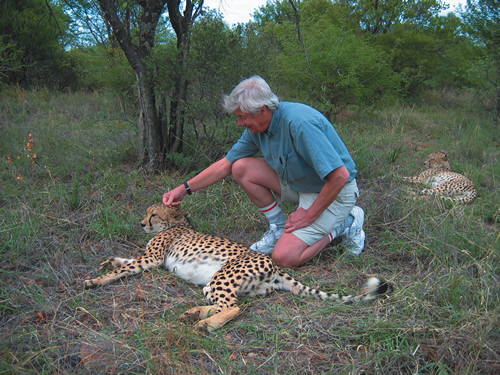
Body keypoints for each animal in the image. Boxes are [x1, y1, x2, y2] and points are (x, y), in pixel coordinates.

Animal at [84, 204, 392, 334]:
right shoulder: (151, 258)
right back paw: (194, 314)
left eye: (153, 214)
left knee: (234, 308)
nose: (141, 223)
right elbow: (125, 261)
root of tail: (274, 265)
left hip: (223, 275)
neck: (176, 224)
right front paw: (110, 261)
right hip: (214, 283)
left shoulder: (153, 259)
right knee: (226, 304)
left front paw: (96, 280)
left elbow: (126, 268)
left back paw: (204, 325)